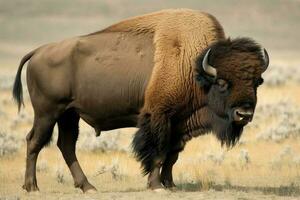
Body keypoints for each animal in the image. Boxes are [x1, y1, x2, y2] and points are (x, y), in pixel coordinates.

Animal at [12, 9, 268, 192]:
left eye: (257, 82)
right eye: (222, 82)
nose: (244, 114)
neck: (193, 66)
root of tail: (38, 51)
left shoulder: (179, 123)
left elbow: (172, 156)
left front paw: (170, 184)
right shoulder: (159, 117)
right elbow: (158, 153)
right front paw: (156, 186)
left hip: (69, 114)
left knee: (66, 145)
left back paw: (88, 187)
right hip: (47, 113)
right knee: (34, 142)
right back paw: (32, 187)